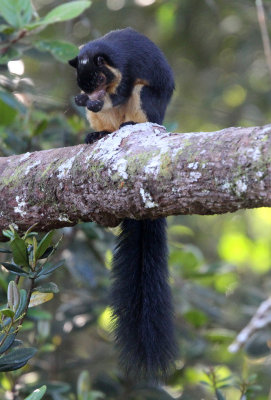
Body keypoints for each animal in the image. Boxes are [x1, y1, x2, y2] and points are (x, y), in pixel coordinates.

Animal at [69, 27, 177, 378]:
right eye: (82, 80)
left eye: (102, 75)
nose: (90, 95)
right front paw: (83, 100)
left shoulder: (127, 73)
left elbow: (119, 93)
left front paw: (101, 98)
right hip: (101, 121)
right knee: (105, 126)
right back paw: (98, 136)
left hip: (145, 102)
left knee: (136, 109)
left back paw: (130, 125)